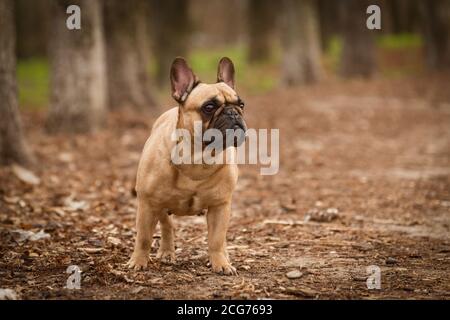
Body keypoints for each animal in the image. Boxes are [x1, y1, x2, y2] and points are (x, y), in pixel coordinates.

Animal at [125, 56, 246, 274]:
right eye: (209, 107)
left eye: (241, 104)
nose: (234, 113)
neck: (198, 158)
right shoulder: (147, 203)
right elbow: (144, 237)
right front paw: (138, 262)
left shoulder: (220, 206)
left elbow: (216, 239)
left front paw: (220, 263)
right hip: (158, 205)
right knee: (167, 226)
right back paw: (166, 252)